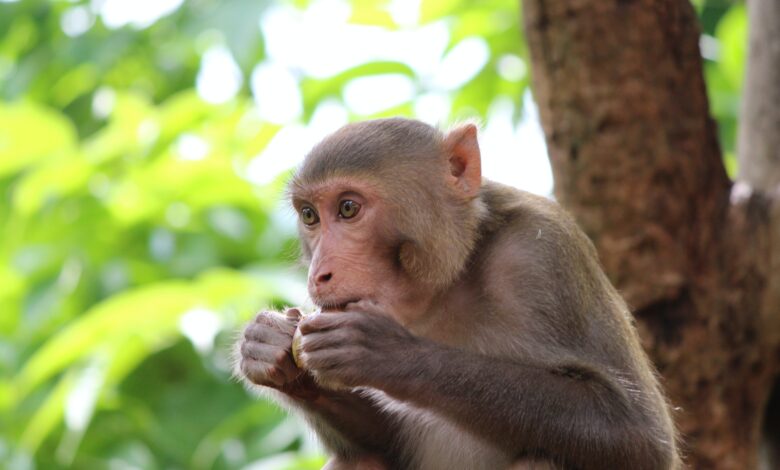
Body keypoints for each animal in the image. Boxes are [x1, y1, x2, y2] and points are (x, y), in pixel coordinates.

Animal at [236, 118, 676, 470]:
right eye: (309, 215)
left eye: (348, 208)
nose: (318, 274)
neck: (450, 279)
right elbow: (385, 443)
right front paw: (272, 349)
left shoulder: (544, 255)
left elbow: (640, 438)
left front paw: (389, 353)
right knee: (361, 459)